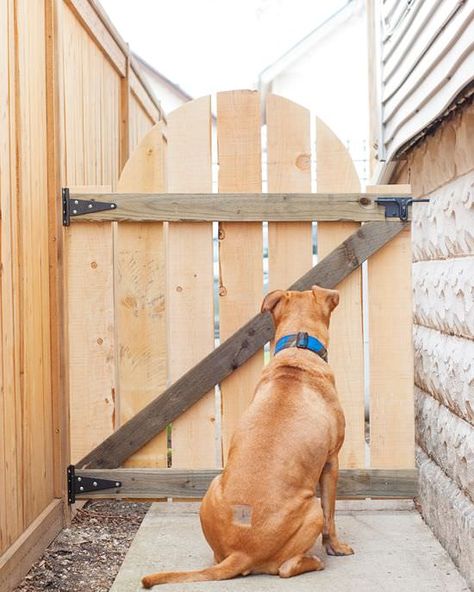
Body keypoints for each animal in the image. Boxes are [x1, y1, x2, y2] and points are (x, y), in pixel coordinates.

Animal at [143, 286, 354, 588]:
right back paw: (314, 560)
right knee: (286, 567)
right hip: (311, 508)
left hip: (213, 487)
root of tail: (241, 552)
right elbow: (331, 514)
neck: (299, 350)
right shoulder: (331, 463)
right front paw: (335, 547)